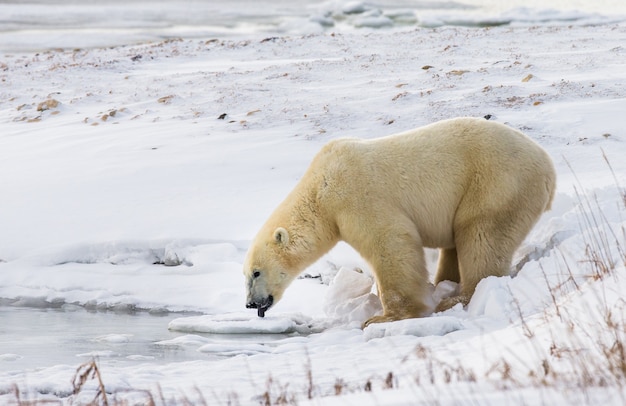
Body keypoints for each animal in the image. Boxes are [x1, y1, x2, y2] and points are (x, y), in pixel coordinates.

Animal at [241, 117, 552, 326]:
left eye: (256, 272)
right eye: (246, 274)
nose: (250, 304)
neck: (320, 189)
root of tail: (548, 166)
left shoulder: (357, 196)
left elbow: (390, 243)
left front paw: (383, 317)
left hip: (496, 182)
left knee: (481, 235)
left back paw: (459, 298)